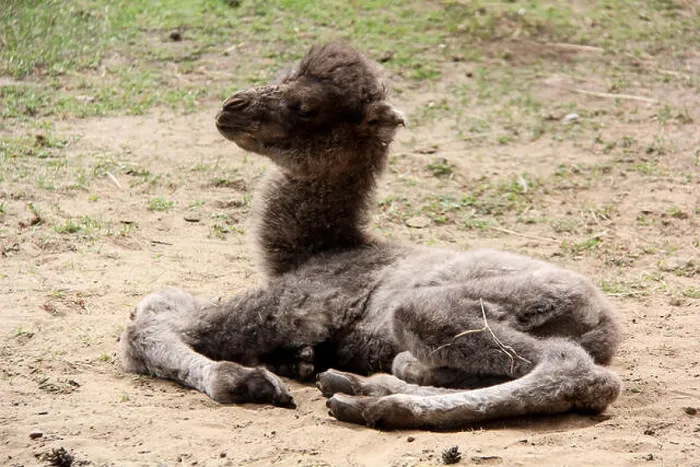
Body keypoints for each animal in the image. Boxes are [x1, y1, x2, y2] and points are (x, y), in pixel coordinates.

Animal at [119, 43, 621, 429]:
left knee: (579, 371)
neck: (318, 248)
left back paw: (372, 405)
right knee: (421, 364)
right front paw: (293, 363)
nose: (231, 107)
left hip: (440, 306)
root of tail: (601, 320)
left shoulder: (300, 301)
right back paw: (357, 384)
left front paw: (244, 380)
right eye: (285, 76)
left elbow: (151, 318)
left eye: (307, 107)